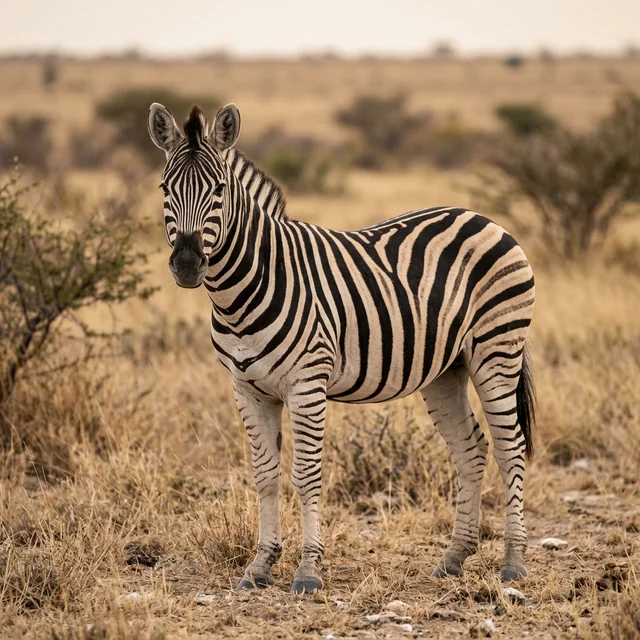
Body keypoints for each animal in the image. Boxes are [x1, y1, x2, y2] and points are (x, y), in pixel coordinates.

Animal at [148, 102, 536, 593]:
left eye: (218, 190)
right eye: (165, 189)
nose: (186, 264)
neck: (242, 292)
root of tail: (483, 218)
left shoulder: (307, 384)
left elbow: (306, 475)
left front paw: (308, 571)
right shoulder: (246, 388)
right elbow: (266, 476)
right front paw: (259, 566)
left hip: (497, 351)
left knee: (510, 448)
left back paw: (513, 562)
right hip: (447, 369)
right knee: (472, 450)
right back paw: (453, 558)